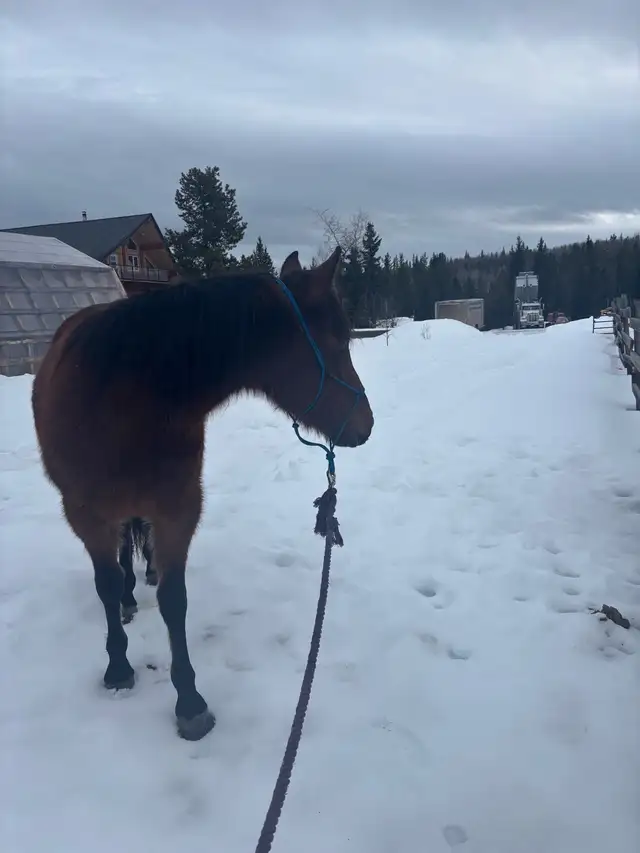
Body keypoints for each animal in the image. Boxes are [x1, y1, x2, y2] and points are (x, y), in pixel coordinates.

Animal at [31, 246, 374, 740]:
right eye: (338, 340)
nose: (366, 425)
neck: (123, 403)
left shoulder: (178, 508)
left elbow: (175, 600)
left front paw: (189, 701)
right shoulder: (86, 515)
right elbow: (107, 584)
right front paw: (118, 667)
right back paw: (129, 600)